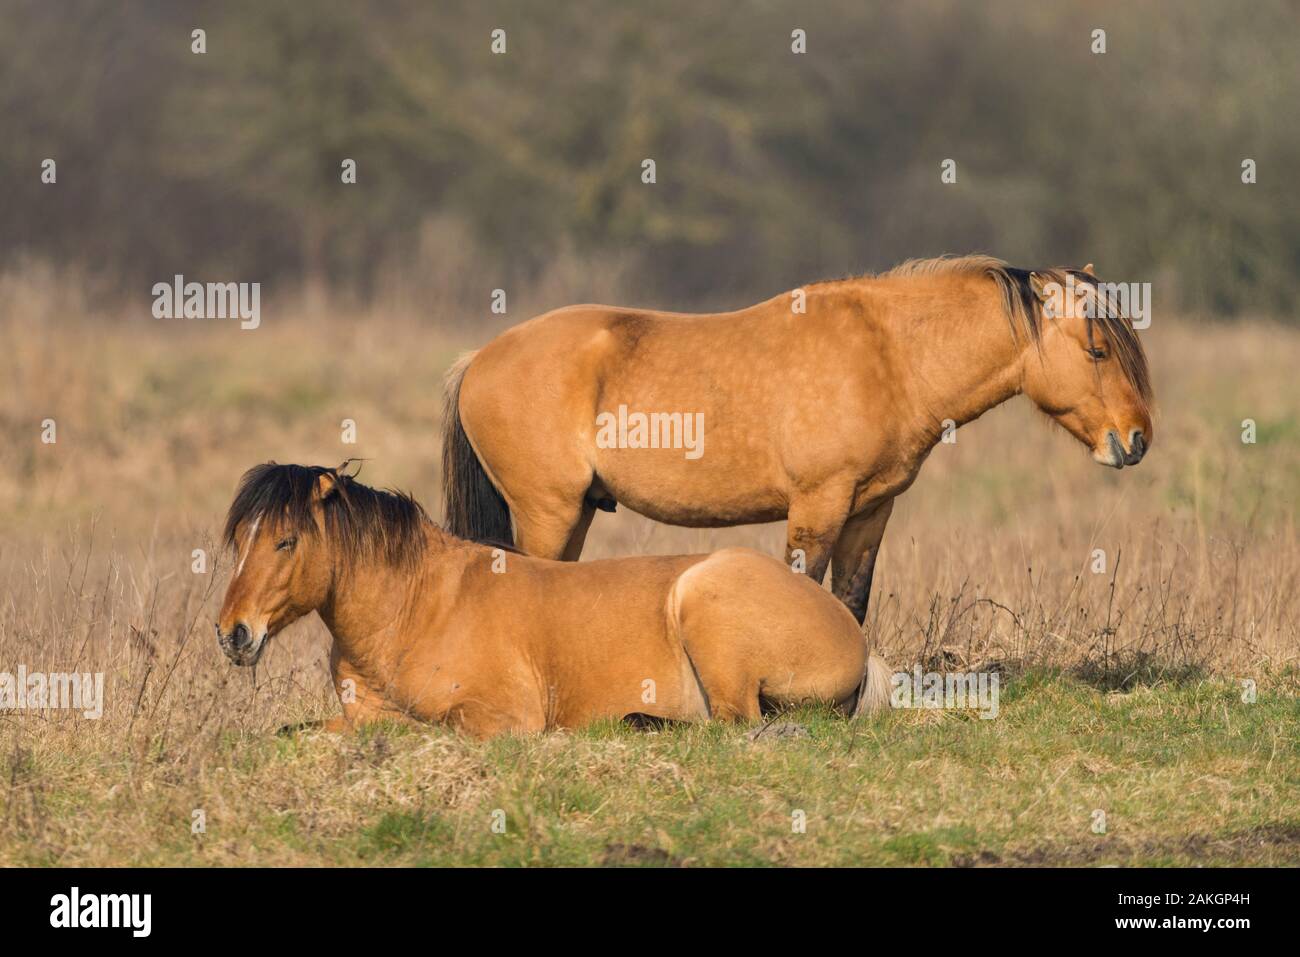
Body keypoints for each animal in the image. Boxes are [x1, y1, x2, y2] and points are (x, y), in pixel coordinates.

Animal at [215, 462, 894, 738]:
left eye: (285, 540)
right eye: (240, 538)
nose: (233, 633)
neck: (415, 609)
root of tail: (855, 639)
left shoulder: (498, 718)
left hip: (707, 610)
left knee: (734, 727)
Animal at [441, 256, 1154, 621]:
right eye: (1097, 349)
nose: (1137, 439)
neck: (890, 356)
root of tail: (477, 359)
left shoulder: (870, 512)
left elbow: (851, 600)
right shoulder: (818, 507)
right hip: (550, 511)